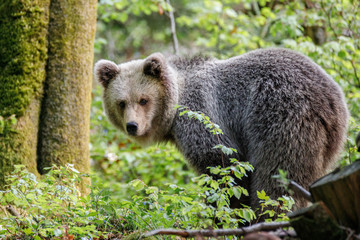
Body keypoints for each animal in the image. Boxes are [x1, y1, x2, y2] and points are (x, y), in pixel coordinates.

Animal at [95, 48, 348, 212]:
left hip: (280, 118)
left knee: (277, 177)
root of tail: (331, 100)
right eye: (121, 102)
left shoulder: (205, 119)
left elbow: (224, 169)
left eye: (143, 100)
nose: (132, 126)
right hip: (328, 144)